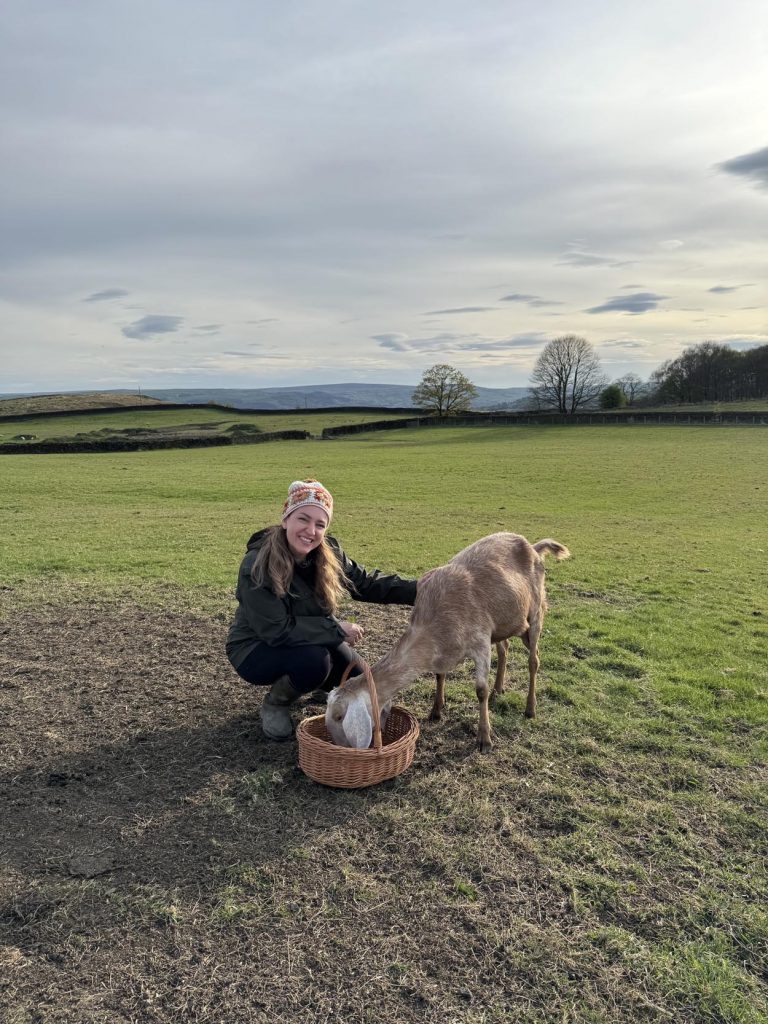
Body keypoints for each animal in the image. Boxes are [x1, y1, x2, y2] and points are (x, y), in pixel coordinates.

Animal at [325, 532, 570, 753]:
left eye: (339, 716)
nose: (339, 747)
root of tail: (533, 546)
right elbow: (439, 676)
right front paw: (436, 711)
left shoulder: (481, 642)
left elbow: (480, 690)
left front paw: (484, 739)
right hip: (504, 624)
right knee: (505, 649)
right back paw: (499, 688)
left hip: (535, 614)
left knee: (534, 661)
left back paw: (530, 709)